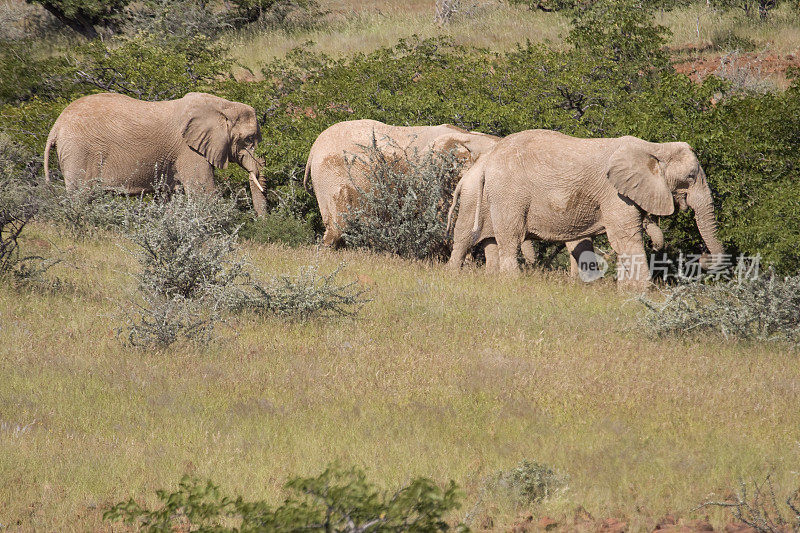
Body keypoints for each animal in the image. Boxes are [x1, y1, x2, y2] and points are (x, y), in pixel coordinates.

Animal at [44, 91, 268, 214]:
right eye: (248, 140)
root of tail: (56, 126)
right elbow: (203, 192)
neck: (222, 105)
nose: (262, 222)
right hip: (80, 151)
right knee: (81, 196)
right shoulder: (188, 149)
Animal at [450, 129, 724, 286]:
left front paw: (626, 292)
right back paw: (508, 283)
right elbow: (626, 238)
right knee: (505, 237)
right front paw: (643, 293)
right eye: (690, 176)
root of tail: (487, 161)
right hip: (507, 193)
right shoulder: (615, 193)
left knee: (488, 241)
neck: (654, 147)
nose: (702, 258)